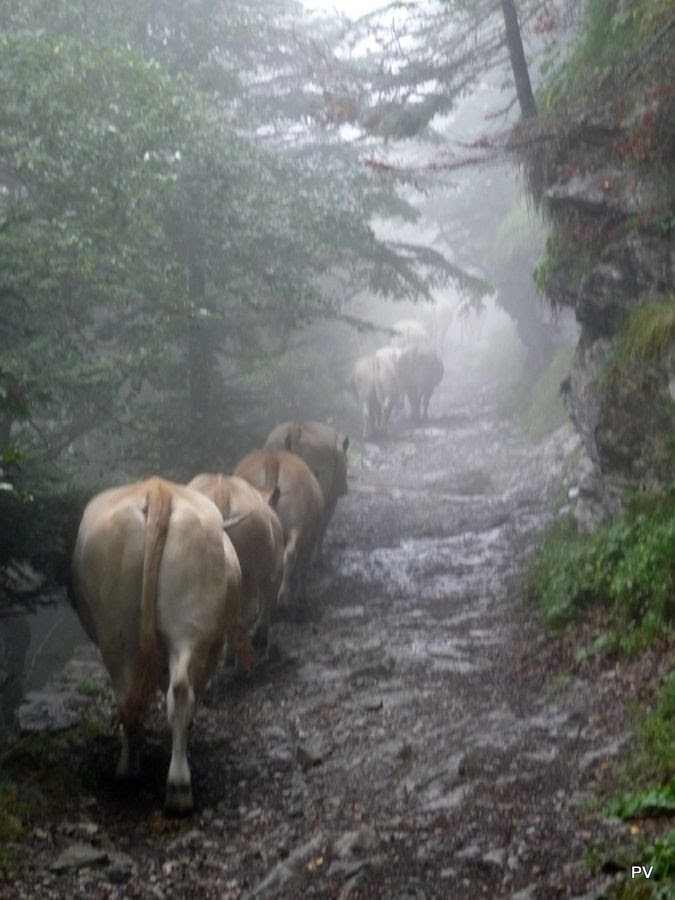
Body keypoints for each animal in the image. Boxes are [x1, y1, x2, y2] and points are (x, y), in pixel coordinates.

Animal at [72, 478, 254, 816]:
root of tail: (158, 490)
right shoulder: (213, 647)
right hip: (189, 629)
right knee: (179, 692)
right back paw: (177, 784)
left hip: (117, 630)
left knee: (131, 696)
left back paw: (131, 770)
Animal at [187, 474, 286, 656]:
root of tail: (222, 490)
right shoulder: (276, 568)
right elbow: (268, 601)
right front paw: (261, 641)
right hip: (248, 573)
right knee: (244, 614)